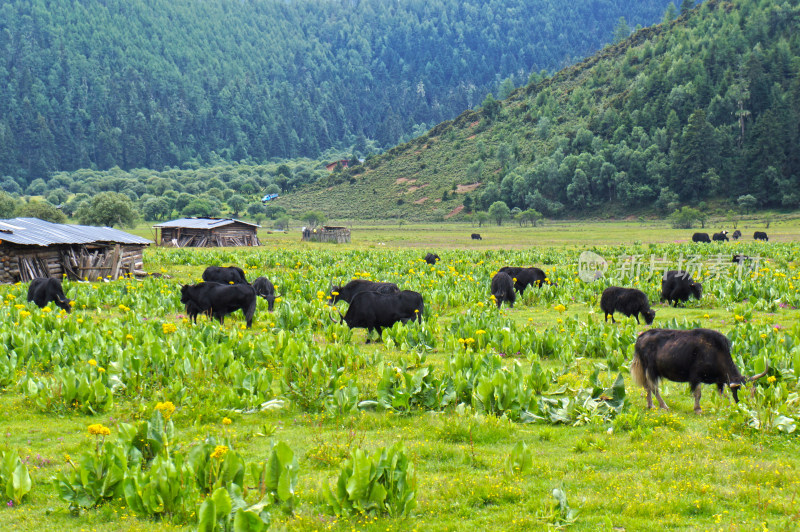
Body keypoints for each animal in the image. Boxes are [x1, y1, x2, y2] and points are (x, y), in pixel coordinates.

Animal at [632, 326, 768, 414]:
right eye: (741, 391)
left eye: (754, 392)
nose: (749, 408)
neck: (716, 353)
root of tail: (640, 337)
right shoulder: (695, 377)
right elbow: (698, 393)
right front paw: (698, 409)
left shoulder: (719, 381)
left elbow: (723, 394)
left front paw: (727, 407)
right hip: (651, 370)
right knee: (653, 388)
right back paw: (664, 406)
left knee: (647, 387)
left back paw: (650, 405)